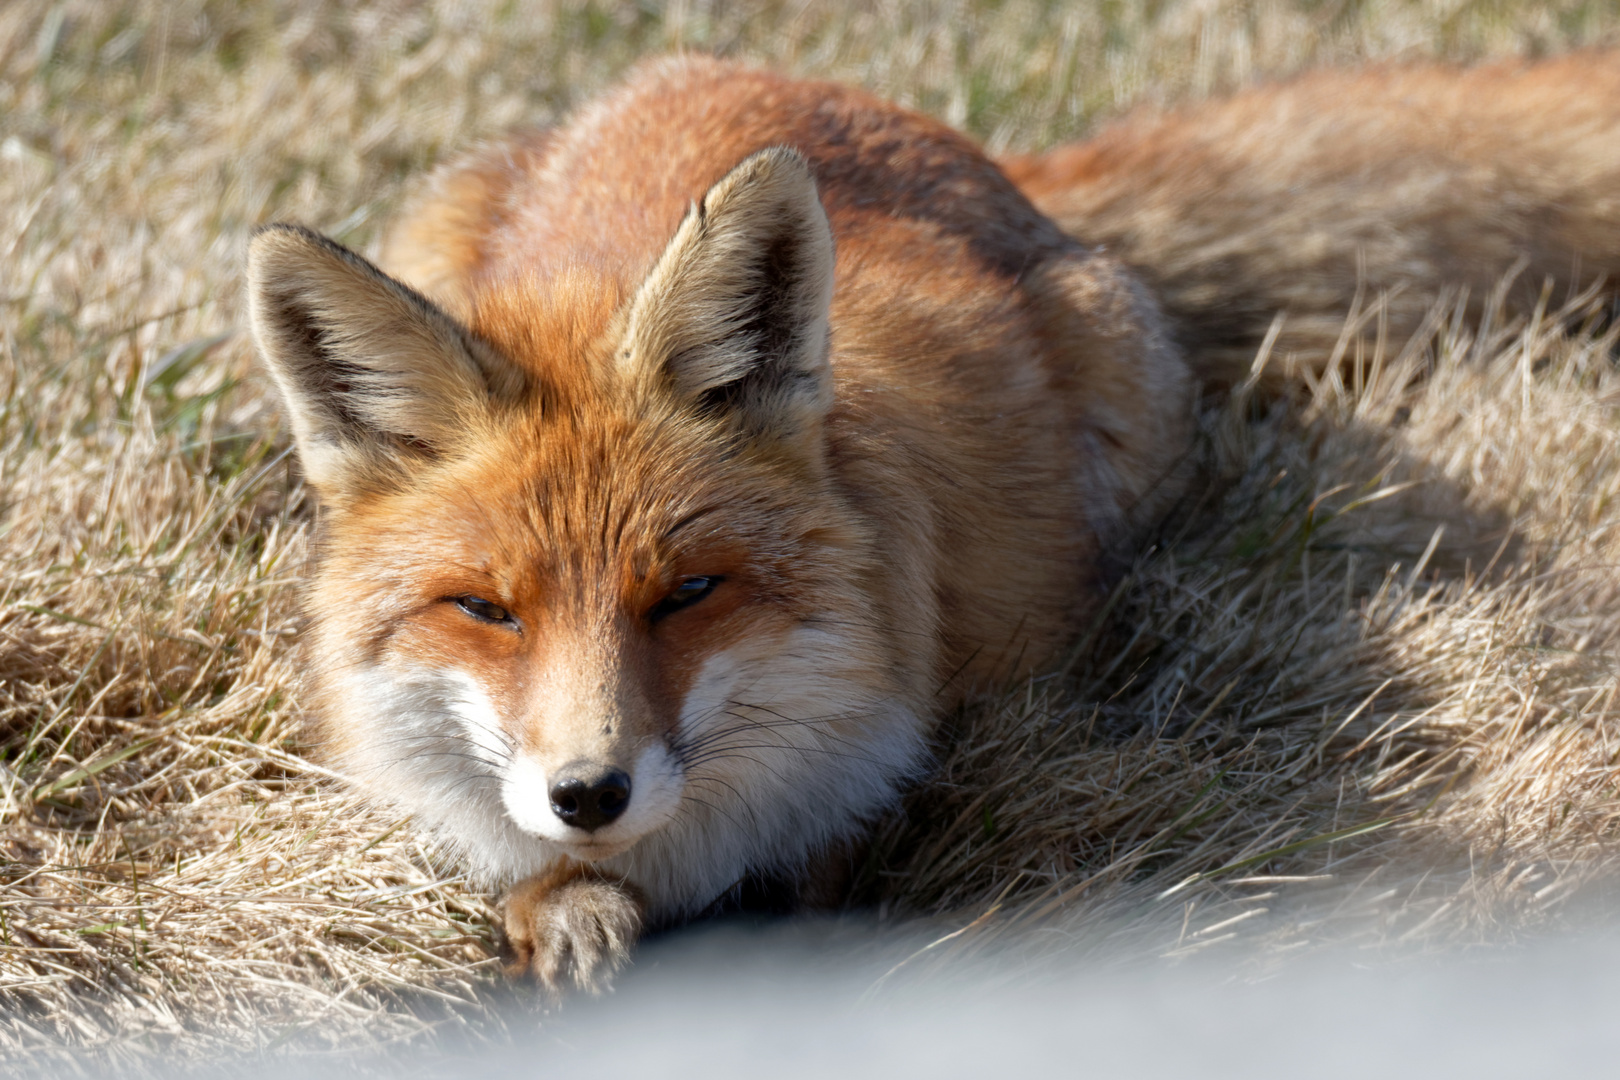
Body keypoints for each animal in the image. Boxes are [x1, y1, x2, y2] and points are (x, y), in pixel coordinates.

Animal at [243, 55, 1620, 990]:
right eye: (484, 609)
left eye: (688, 592)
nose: (590, 792)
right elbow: (536, 891)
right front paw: (565, 914)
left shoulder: (867, 793)